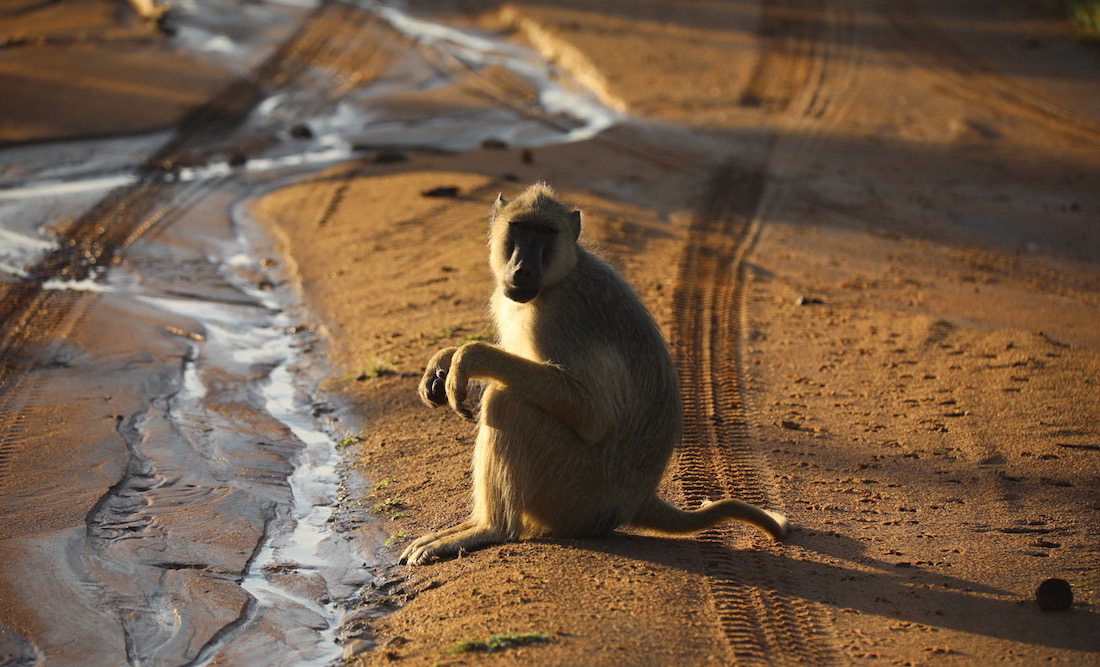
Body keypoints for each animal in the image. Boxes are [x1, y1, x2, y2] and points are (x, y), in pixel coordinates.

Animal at [402, 183, 787, 565]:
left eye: (545, 233)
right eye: (521, 228)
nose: (522, 269)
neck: (560, 277)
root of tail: (637, 499)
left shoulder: (560, 315)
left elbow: (593, 416)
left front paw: (467, 356)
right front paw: (445, 359)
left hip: (577, 493)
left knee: (507, 402)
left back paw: (489, 529)